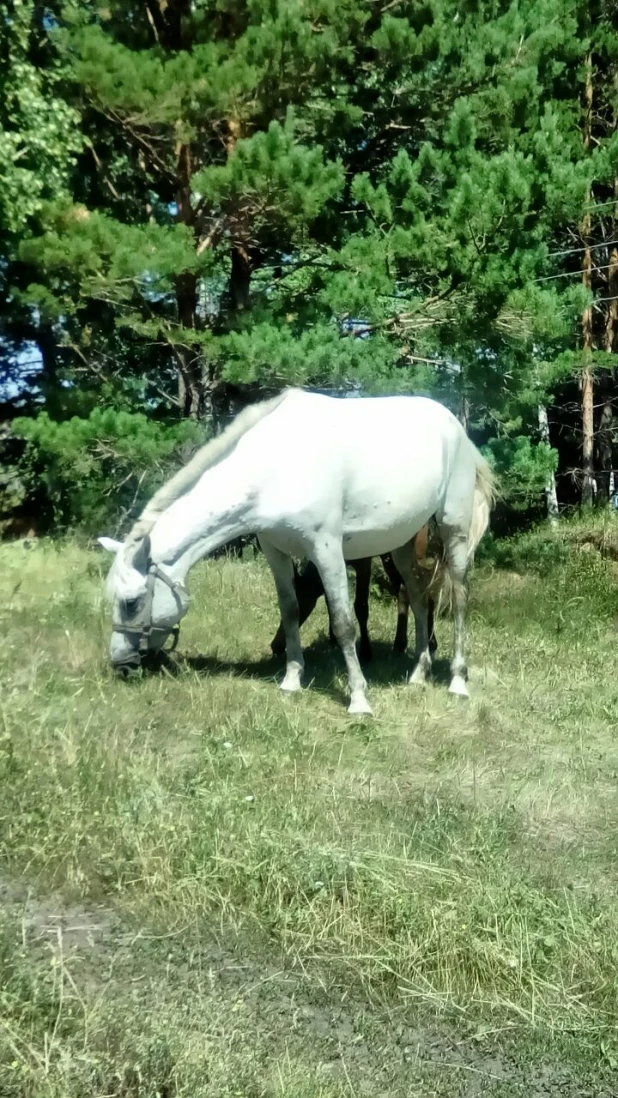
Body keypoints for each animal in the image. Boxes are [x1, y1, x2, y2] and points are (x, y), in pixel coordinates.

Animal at [268, 527, 436, 663]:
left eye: (302, 605)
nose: (275, 645)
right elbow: (331, 603)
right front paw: (333, 639)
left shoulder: (364, 564)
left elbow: (361, 607)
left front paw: (366, 652)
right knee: (404, 591)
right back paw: (400, 644)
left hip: (415, 551)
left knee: (426, 588)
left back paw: (431, 643)